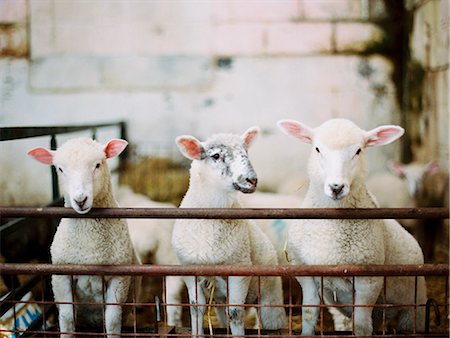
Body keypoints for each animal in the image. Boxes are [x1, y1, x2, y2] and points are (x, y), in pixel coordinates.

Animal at [28, 137, 141, 338]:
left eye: (97, 165)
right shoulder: (61, 276)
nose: (80, 200)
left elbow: (113, 320)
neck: (90, 248)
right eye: (60, 169)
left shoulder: (119, 277)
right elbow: (66, 317)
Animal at [171, 128, 286, 336]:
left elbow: (236, 313)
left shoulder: (239, 269)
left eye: (246, 152)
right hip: (219, 301)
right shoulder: (189, 269)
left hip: (270, 296)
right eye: (216, 155)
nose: (252, 179)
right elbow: (196, 309)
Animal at [276, 118, 428, 336]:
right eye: (317, 149)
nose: (336, 187)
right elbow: (309, 314)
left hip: (415, 305)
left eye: (358, 151)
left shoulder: (369, 281)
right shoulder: (306, 274)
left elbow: (362, 325)